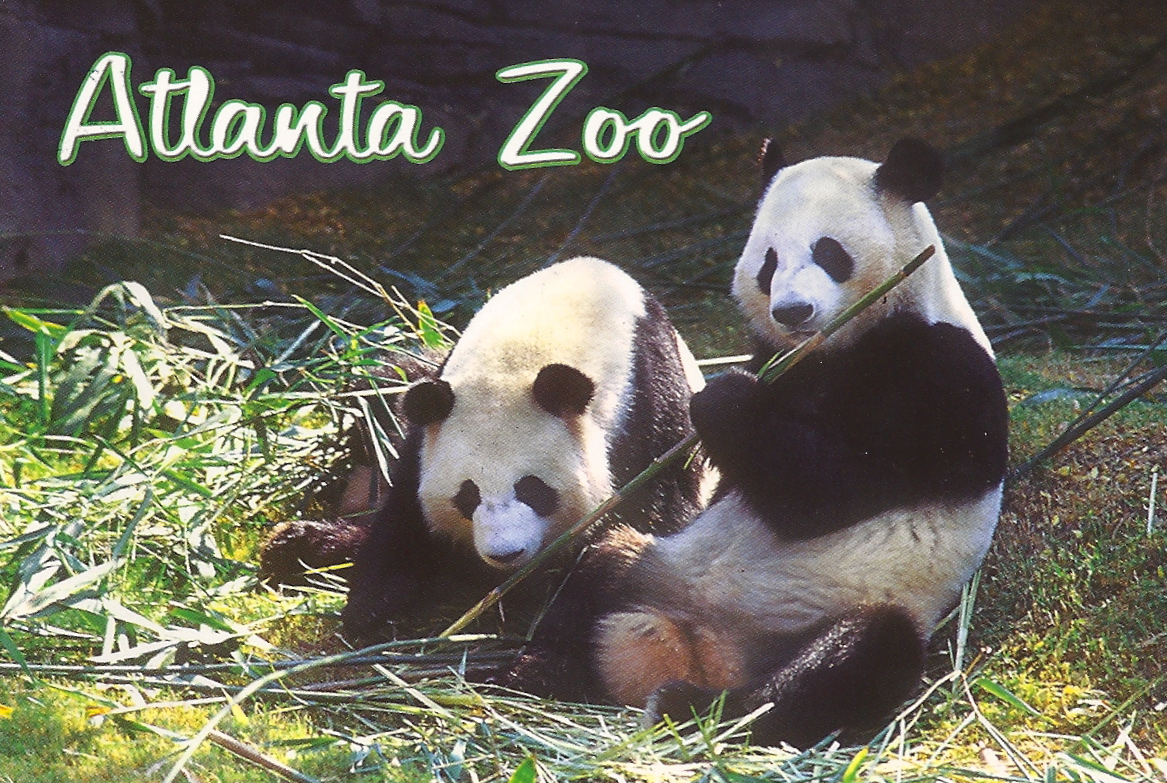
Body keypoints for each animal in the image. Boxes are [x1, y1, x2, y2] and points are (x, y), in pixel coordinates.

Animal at [341, 256, 710, 641]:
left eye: (532, 489)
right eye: (467, 495)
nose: (505, 554)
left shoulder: (648, 411)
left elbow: (654, 513)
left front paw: (566, 614)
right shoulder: (430, 425)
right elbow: (405, 510)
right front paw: (371, 604)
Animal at [501, 139, 1009, 748]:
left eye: (829, 252)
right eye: (768, 262)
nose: (792, 311)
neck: (833, 347)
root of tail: (699, 650)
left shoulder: (943, 377)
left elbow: (826, 491)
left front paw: (721, 399)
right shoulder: (780, 361)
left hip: (833, 615)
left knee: (858, 656)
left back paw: (701, 708)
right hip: (657, 569)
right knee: (599, 567)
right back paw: (542, 672)